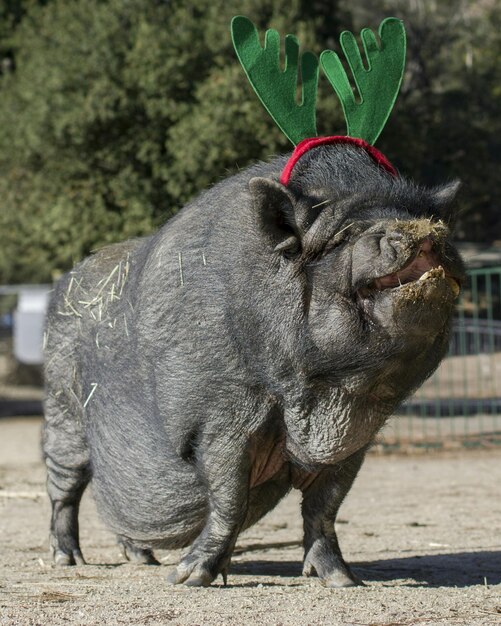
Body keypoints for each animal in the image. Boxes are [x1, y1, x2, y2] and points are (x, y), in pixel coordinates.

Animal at [42, 141, 460, 584]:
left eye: (430, 220)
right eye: (344, 235)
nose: (424, 231)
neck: (313, 395)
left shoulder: (352, 440)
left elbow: (325, 507)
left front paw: (344, 581)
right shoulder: (221, 418)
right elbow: (229, 498)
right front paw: (188, 579)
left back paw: (143, 559)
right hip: (62, 410)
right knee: (64, 488)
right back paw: (68, 560)